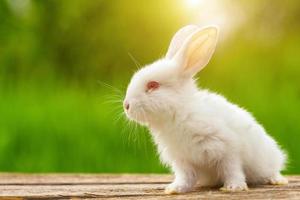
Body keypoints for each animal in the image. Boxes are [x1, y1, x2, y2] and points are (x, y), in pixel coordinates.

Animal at [122, 24, 288, 194]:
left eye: (153, 85)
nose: (126, 105)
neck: (179, 113)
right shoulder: (182, 160)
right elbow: (185, 177)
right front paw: (174, 189)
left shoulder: (228, 149)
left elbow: (232, 170)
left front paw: (233, 187)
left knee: (272, 171)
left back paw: (277, 180)